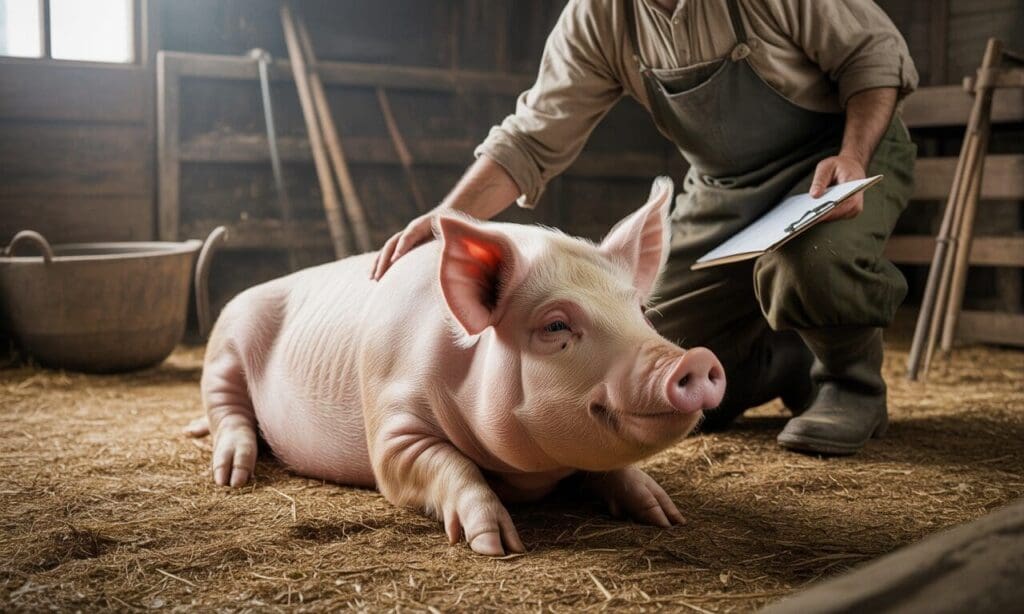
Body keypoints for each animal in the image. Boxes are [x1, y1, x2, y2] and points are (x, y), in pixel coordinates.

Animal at [189, 177, 725, 556]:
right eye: (555, 325)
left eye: (640, 311)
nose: (695, 359)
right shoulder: (391, 430)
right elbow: (448, 465)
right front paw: (497, 545)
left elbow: (613, 469)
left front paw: (665, 514)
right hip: (225, 344)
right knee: (227, 411)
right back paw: (232, 475)